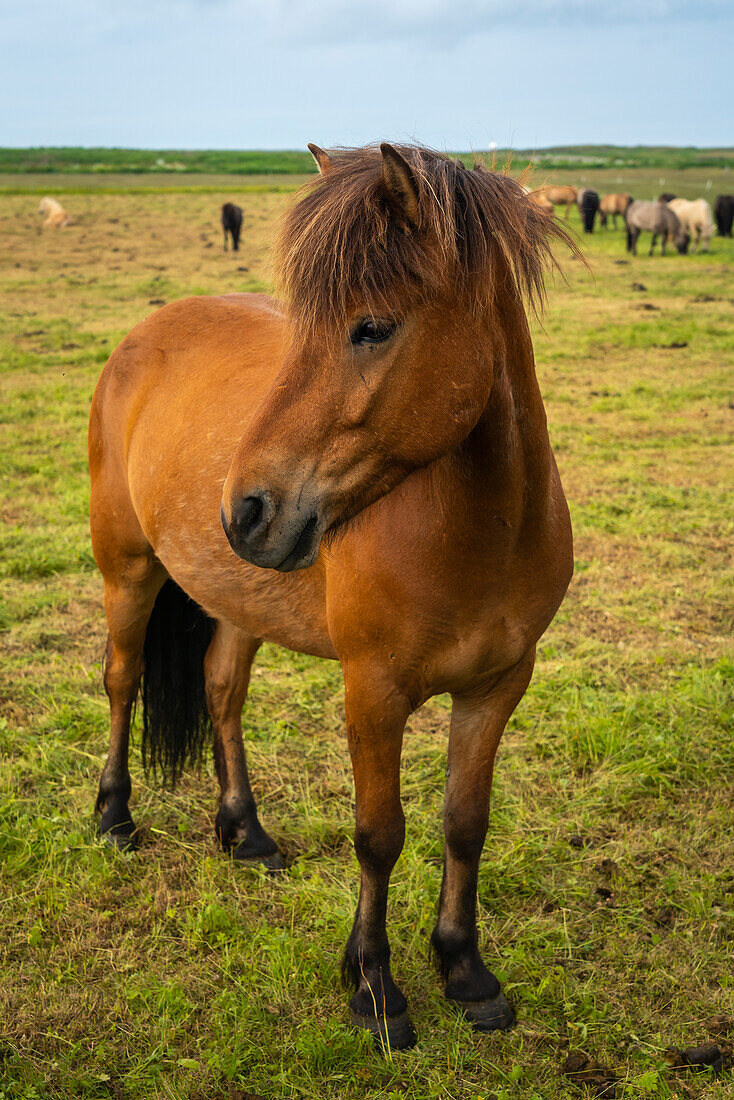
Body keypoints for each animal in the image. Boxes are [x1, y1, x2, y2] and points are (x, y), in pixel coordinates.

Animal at [89, 144, 576, 1047]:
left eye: (372, 327)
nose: (247, 510)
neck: (480, 531)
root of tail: (145, 334)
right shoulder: (372, 693)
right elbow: (379, 835)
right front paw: (375, 986)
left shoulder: (497, 686)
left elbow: (466, 823)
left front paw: (465, 970)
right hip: (127, 570)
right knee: (121, 680)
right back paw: (113, 820)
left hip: (236, 598)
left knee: (222, 690)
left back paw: (246, 833)